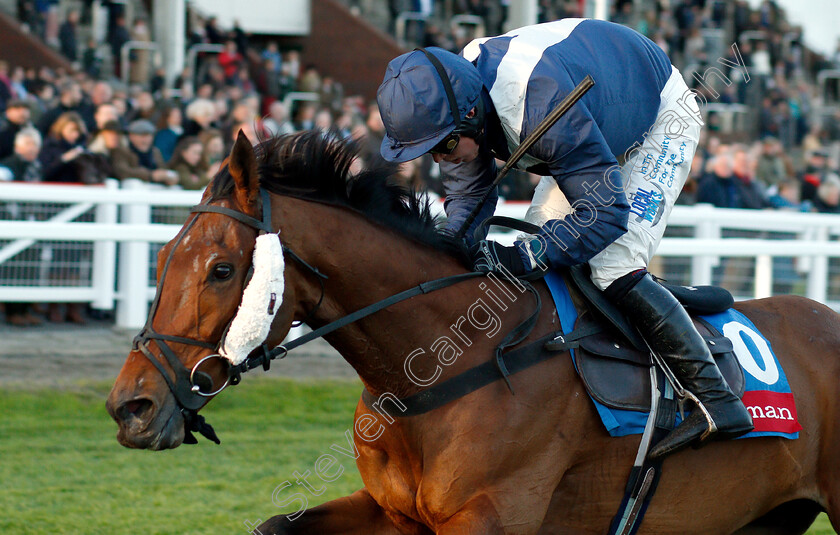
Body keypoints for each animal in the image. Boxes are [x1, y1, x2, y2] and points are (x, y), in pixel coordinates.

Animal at [106, 133, 840, 535]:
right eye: (164, 255)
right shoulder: (398, 515)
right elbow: (276, 523)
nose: (130, 406)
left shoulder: (490, 517)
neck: (439, 364)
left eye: (222, 269)